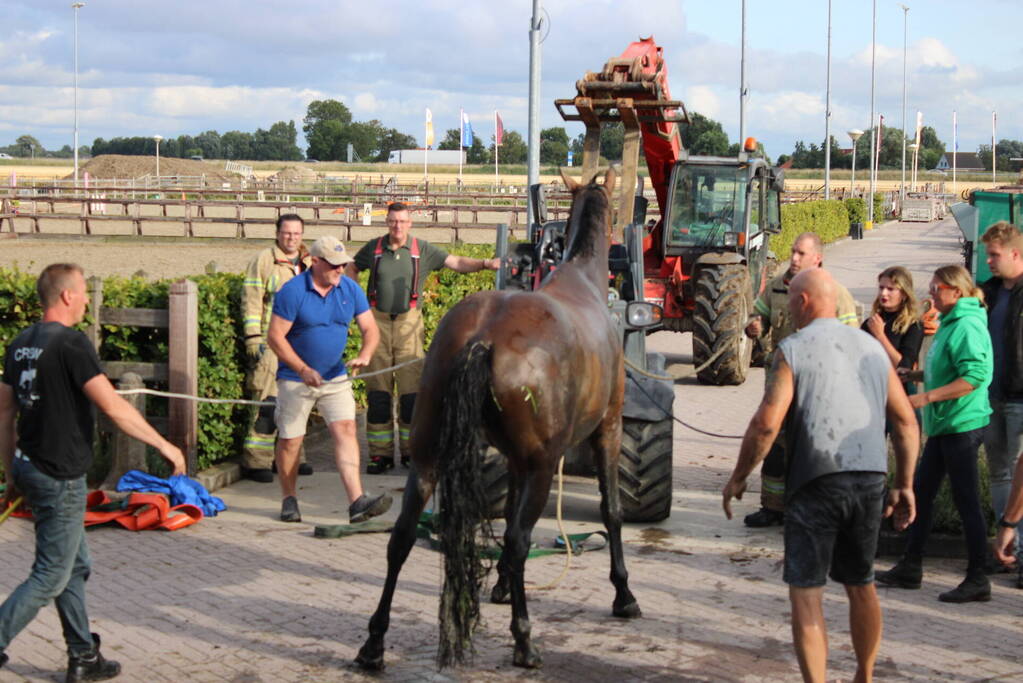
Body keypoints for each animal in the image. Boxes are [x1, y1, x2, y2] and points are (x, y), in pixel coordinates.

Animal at [353, 166, 638, 670]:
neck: (583, 281)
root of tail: (483, 337)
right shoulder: (607, 428)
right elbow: (611, 511)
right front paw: (623, 592)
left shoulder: (514, 459)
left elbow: (504, 522)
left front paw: (502, 585)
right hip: (544, 465)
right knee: (522, 540)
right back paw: (524, 640)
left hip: (428, 457)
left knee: (402, 537)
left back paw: (374, 642)